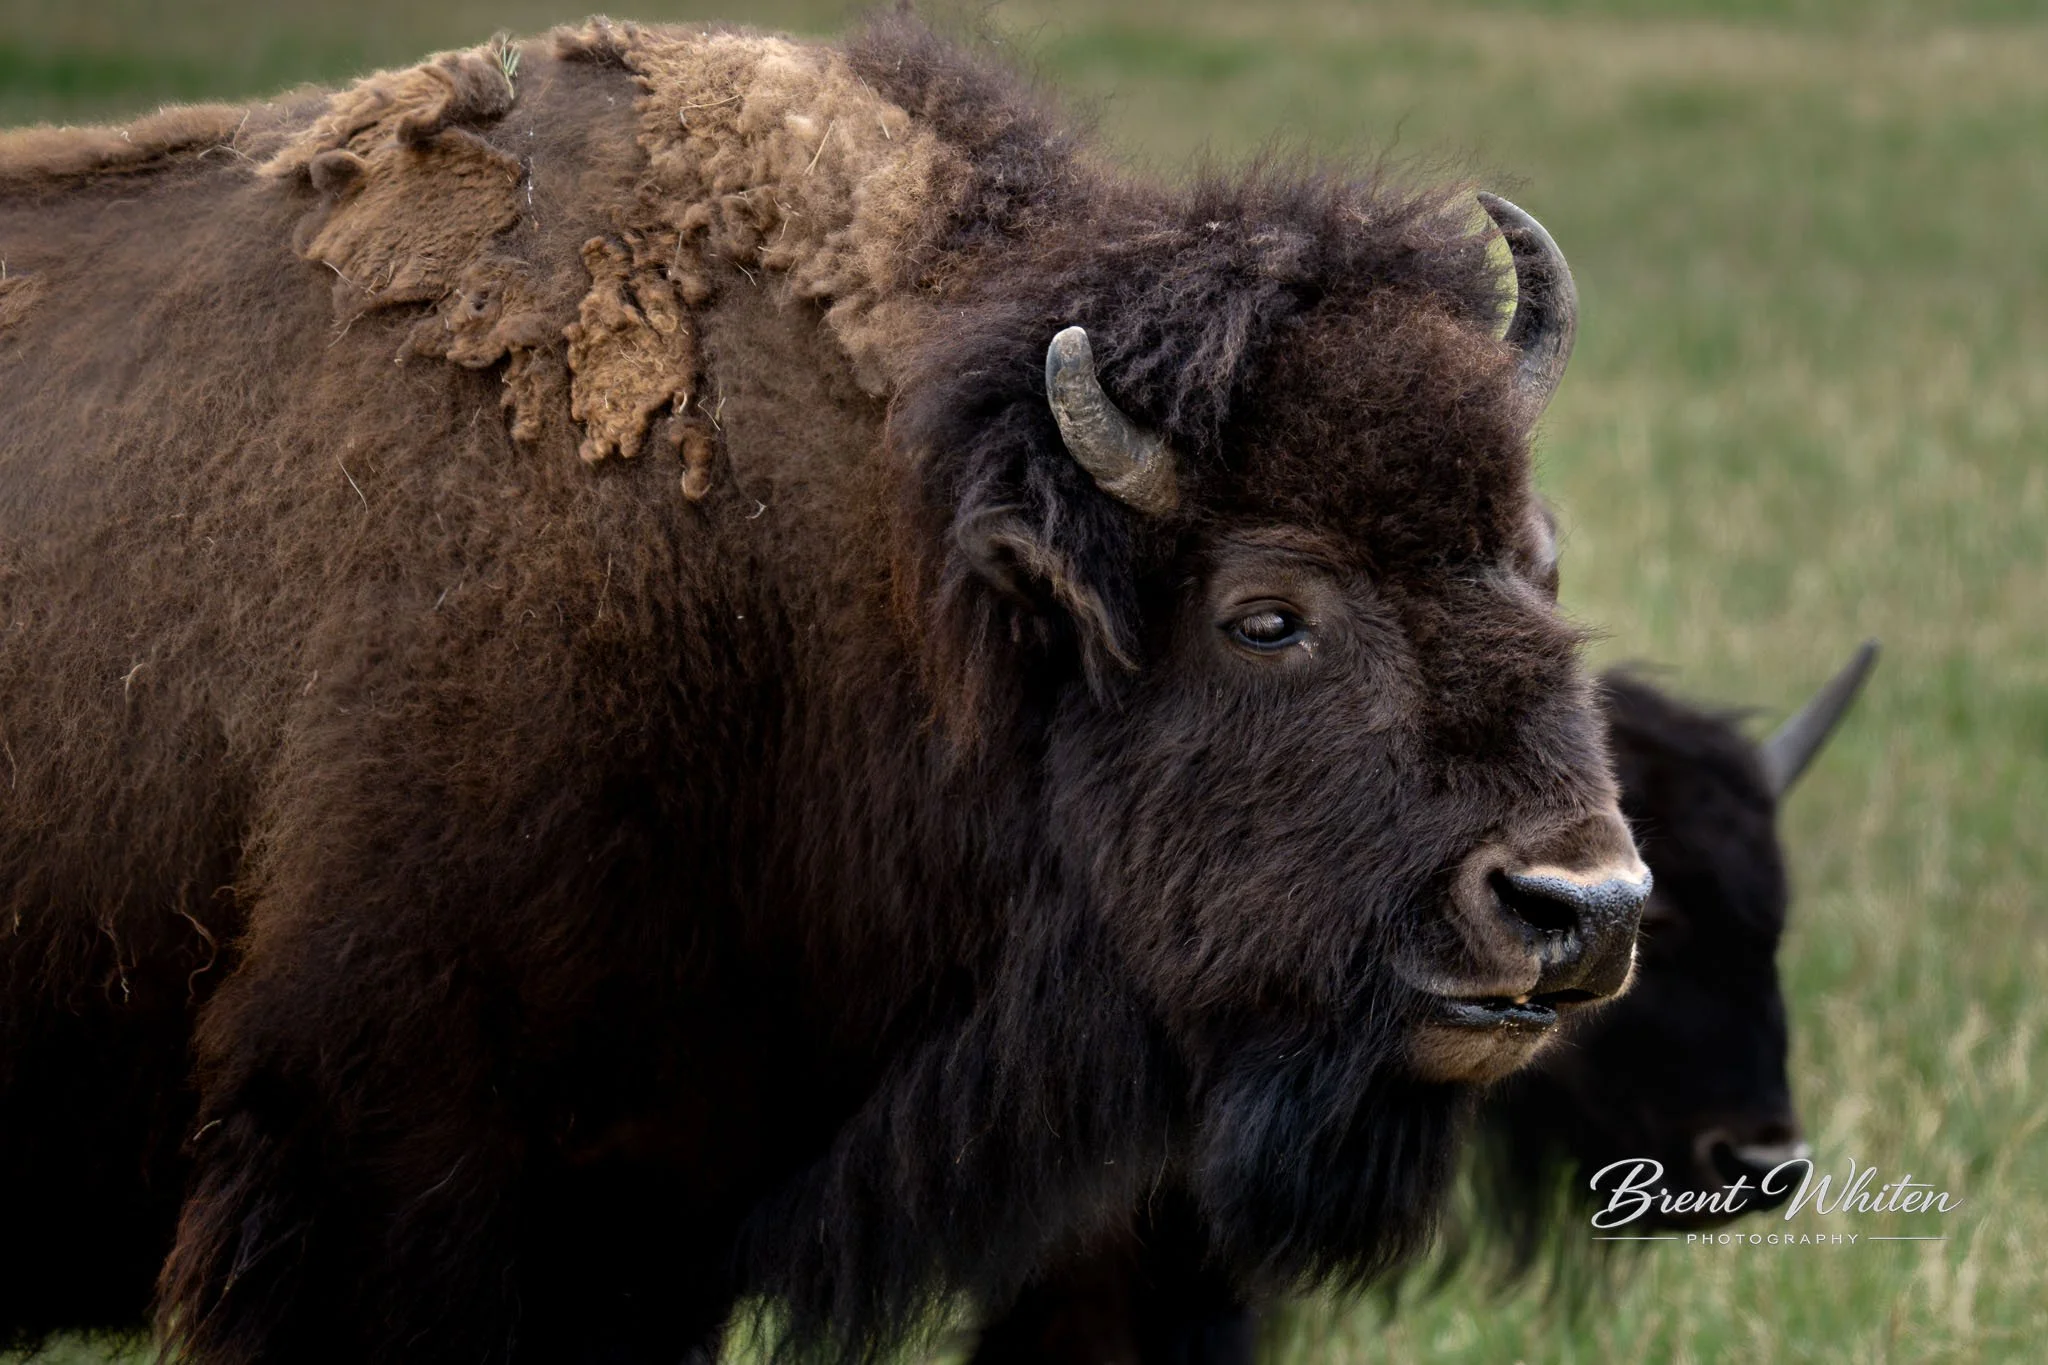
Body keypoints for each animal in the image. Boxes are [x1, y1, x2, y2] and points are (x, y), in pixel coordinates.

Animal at [0, 19, 1651, 1364]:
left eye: (1536, 553)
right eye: (1265, 615)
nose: (1582, 903)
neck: (884, 566)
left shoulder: (649, 1221)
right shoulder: (375, 1176)